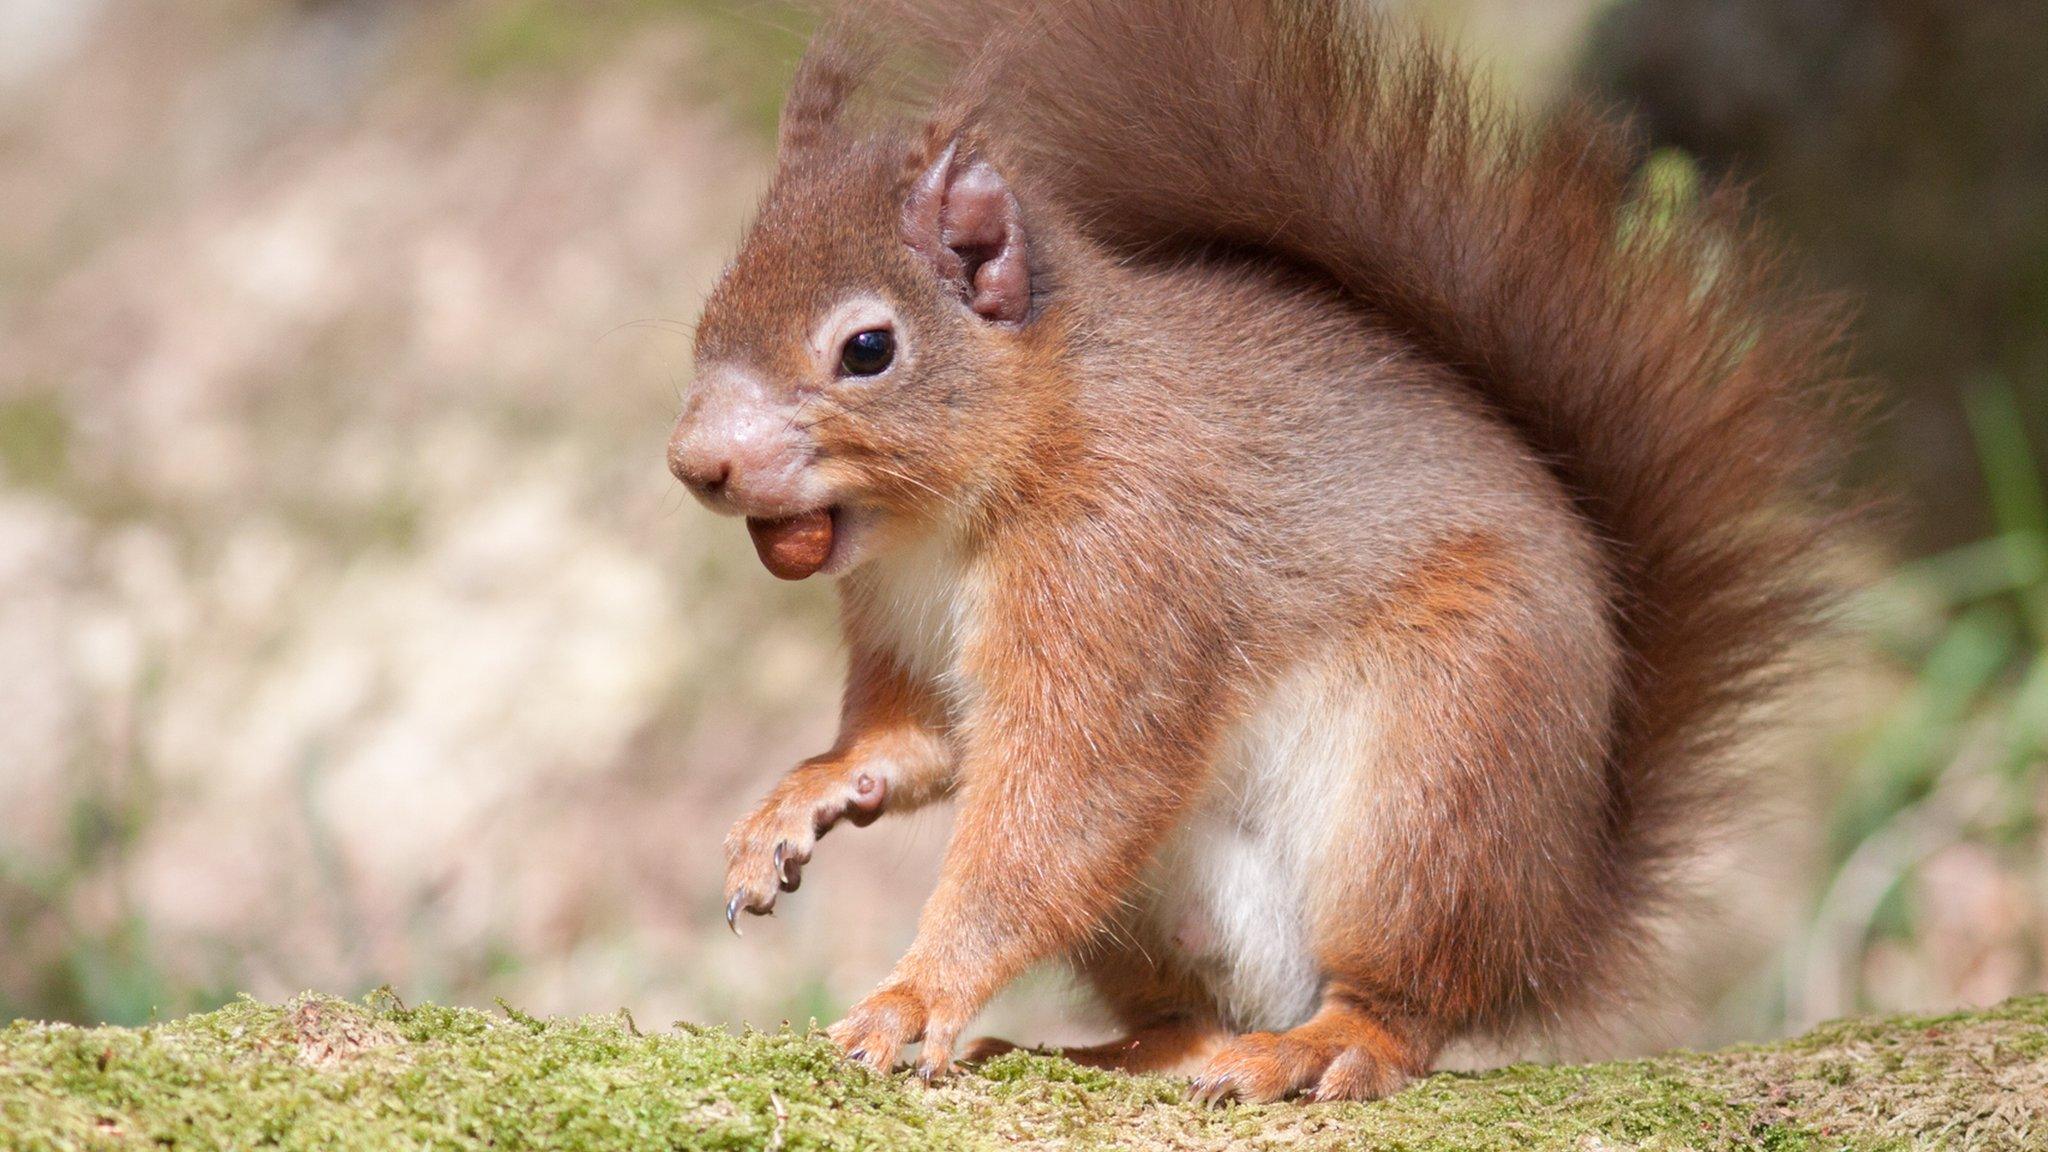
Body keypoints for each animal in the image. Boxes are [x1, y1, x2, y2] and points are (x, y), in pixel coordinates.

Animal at [663, 0, 1851, 1090]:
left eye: (868, 349)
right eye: (709, 310)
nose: (694, 463)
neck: (943, 524)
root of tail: (1555, 926)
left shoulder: (1126, 570)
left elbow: (1062, 803)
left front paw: (914, 998)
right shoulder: (906, 638)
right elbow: (909, 744)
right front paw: (798, 805)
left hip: (1438, 784)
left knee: (1405, 1010)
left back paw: (1314, 1048)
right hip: (1160, 914)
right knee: (1192, 1015)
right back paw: (1106, 1052)